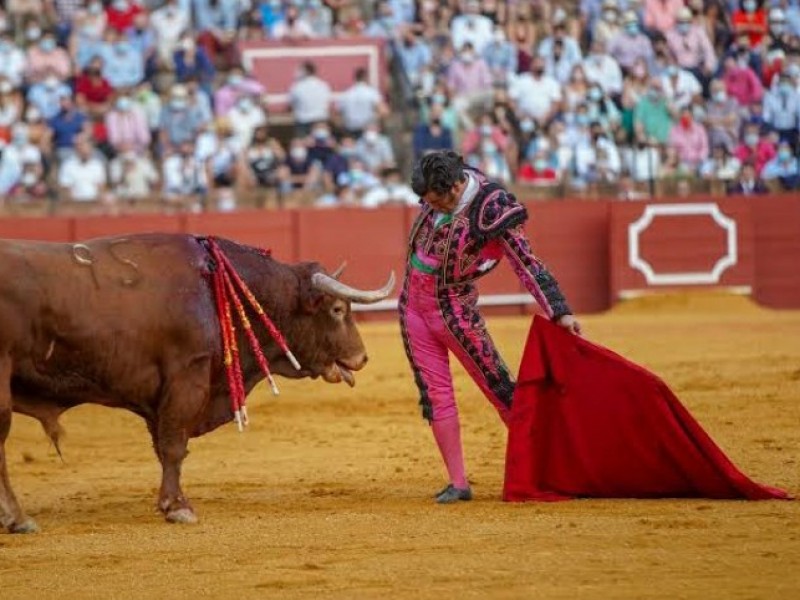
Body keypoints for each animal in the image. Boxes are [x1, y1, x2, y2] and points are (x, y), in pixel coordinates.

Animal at [0, 232, 394, 532]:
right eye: (338, 310)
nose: (362, 357)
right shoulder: (187, 377)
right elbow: (175, 445)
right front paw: (178, 507)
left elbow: (164, 447)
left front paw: (170, 502)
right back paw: (18, 519)